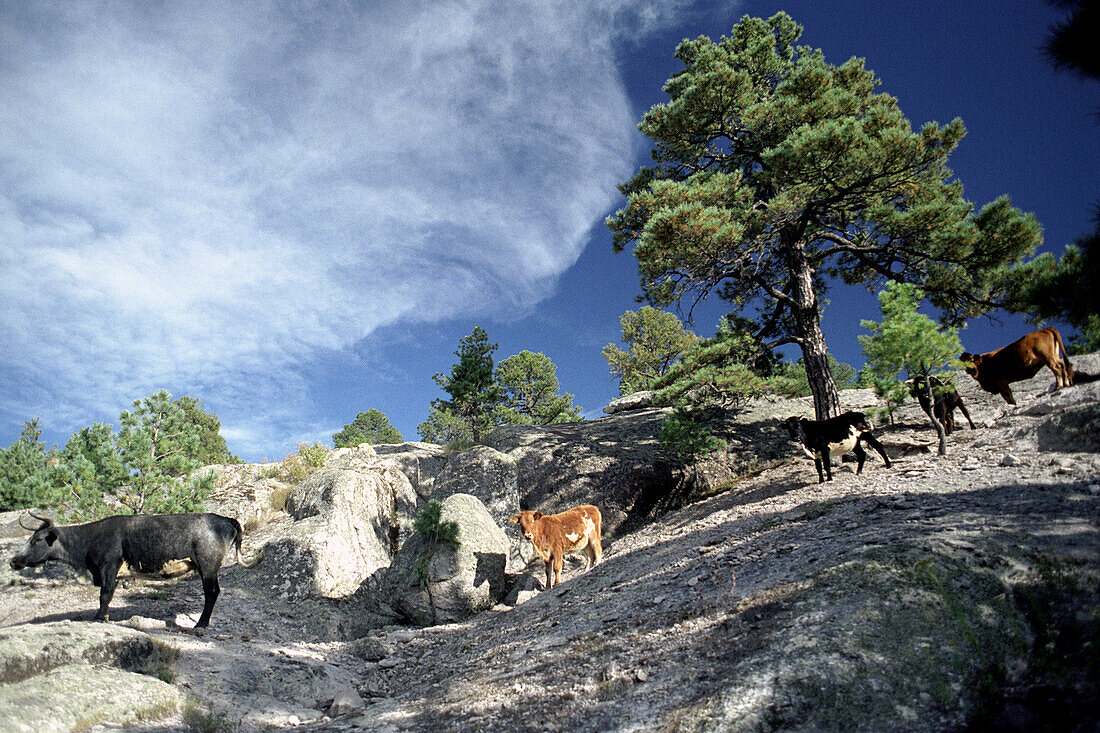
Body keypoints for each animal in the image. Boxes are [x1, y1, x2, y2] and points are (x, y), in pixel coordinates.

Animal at [10, 510, 261, 625]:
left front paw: (99, 617)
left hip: (208, 565)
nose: (13, 561)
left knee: (212, 592)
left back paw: (200, 625)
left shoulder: (109, 566)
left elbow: (105, 595)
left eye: (36, 540)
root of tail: (225, 519)